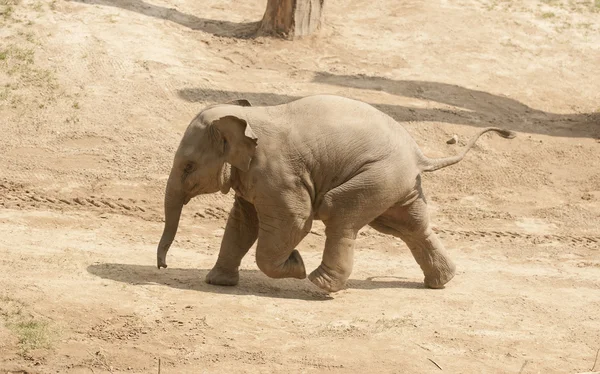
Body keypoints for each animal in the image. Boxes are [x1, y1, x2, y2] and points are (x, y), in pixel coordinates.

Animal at [156, 93, 516, 292]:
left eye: (188, 166)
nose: (162, 267)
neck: (250, 117)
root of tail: (418, 154)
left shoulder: (278, 174)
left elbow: (295, 220)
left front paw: (295, 265)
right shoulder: (252, 177)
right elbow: (243, 222)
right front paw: (216, 282)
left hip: (378, 177)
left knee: (339, 212)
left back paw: (319, 283)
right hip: (397, 183)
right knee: (409, 226)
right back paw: (441, 282)